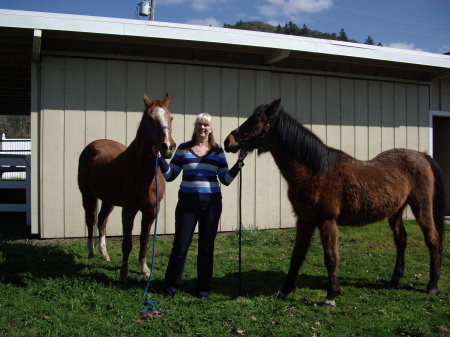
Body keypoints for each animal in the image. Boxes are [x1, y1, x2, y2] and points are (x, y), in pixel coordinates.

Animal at [77, 92, 176, 284]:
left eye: (171, 117)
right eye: (150, 118)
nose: (167, 147)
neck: (143, 172)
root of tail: (94, 144)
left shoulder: (151, 210)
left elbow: (144, 239)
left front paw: (144, 269)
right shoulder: (129, 210)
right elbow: (127, 243)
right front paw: (123, 274)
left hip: (108, 200)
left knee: (102, 221)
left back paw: (104, 254)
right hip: (88, 195)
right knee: (90, 220)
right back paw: (91, 252)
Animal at [223, 98, 444, 308]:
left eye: (257, 121)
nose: (228, 141)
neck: (315, 172)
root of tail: (422, 155)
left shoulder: (327, 222)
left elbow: (330, 258)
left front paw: (331, 296)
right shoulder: (304, 220)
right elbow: (297, 255)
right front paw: (285, 291)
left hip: (421, 207)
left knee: (432, 239)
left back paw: (432, 285)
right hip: (395, 211)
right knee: (401, 240)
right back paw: (394, 281)